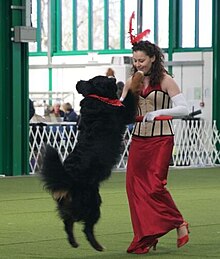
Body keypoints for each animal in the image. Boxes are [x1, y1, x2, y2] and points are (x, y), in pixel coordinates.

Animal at [40, 71, 144, 252]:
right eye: (103, 78)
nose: (114, 78)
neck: (98, 98)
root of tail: (67, 177)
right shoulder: (124, 113)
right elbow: (131, 94)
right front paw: (134, 77)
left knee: (68, 222)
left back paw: (74, 242)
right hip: (93, 203)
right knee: (85, 226)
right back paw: (97, 246)